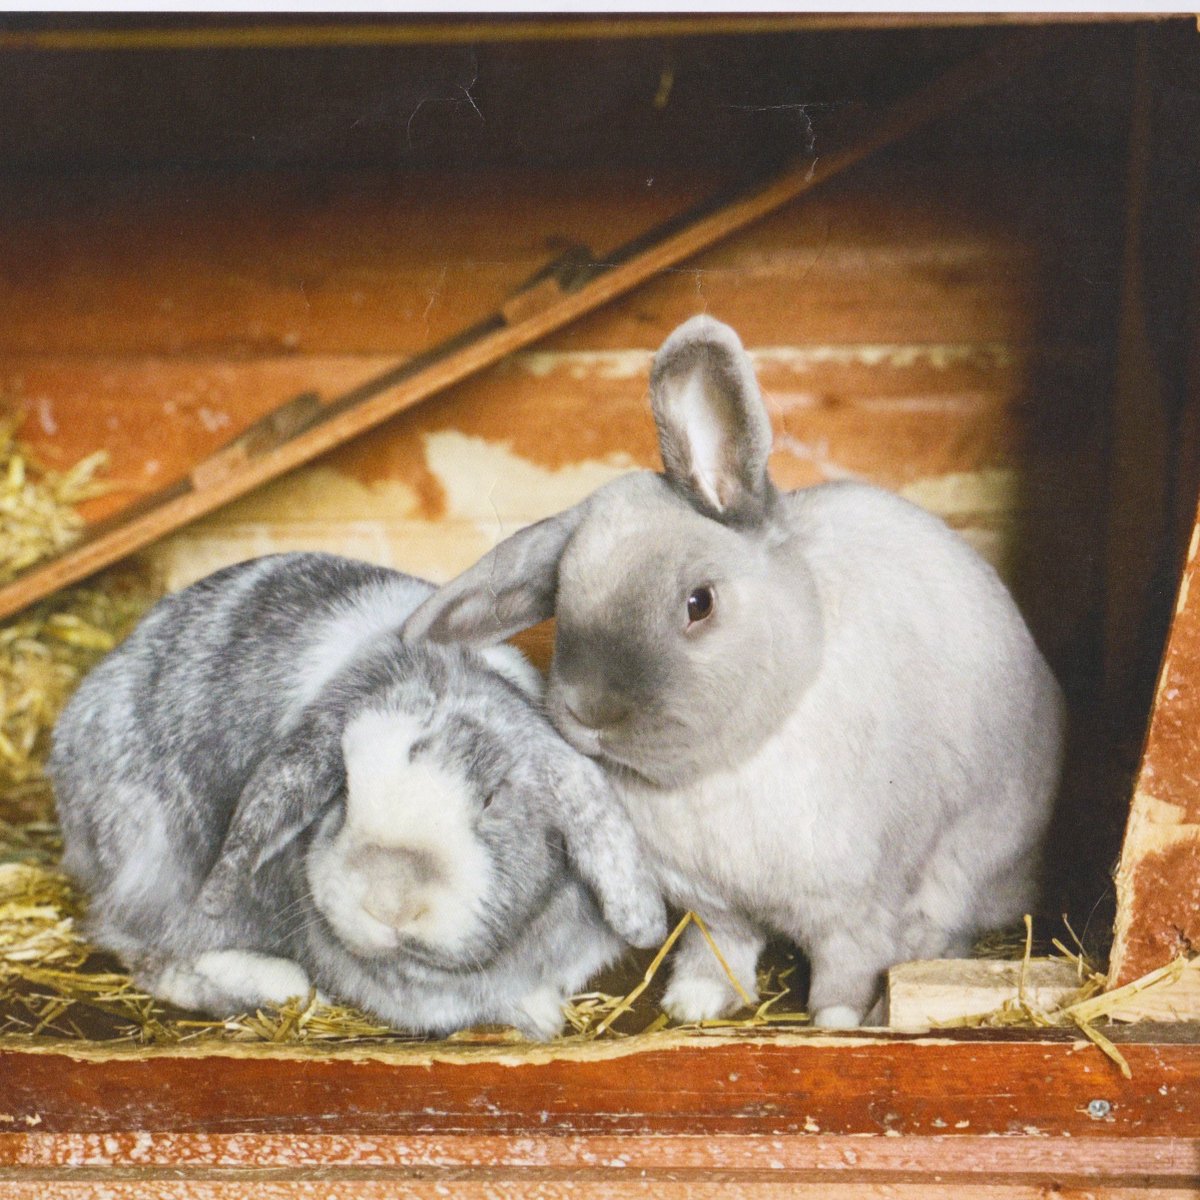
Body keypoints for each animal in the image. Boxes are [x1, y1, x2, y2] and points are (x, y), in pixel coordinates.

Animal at [48, 552, 667, 1040]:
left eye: (492, 799)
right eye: (343, 790)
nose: (389, 901)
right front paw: (538, 1017)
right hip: (150, 864)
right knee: (143, 952)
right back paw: (278, 984)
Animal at [401, 315, 1067, 1029]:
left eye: (700, 603)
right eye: (562, 595)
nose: (586, 709)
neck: (721, 768)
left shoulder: (853, 910)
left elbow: (847, 967)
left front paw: (833, 1023)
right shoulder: (712, 906)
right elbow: (721, 948)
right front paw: (692, 1002)